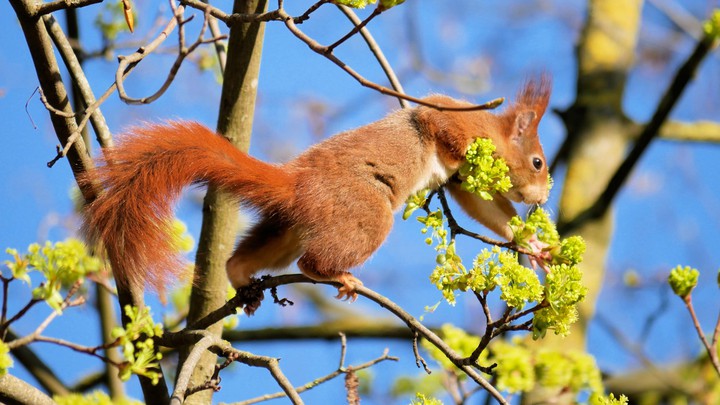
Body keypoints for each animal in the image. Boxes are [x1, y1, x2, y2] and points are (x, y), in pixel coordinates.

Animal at [83, 77, 551, 305]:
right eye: (538, 162)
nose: (543, 198)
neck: (492, 130)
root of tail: (294, 183)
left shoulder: (463, 182)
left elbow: (485, 207)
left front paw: (533, 244)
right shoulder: (452, 120)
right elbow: (441, 131)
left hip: (287, 229)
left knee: (253, 256)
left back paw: (241, 278)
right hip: (362, 215)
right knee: (310, 262)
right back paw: (337, 275)